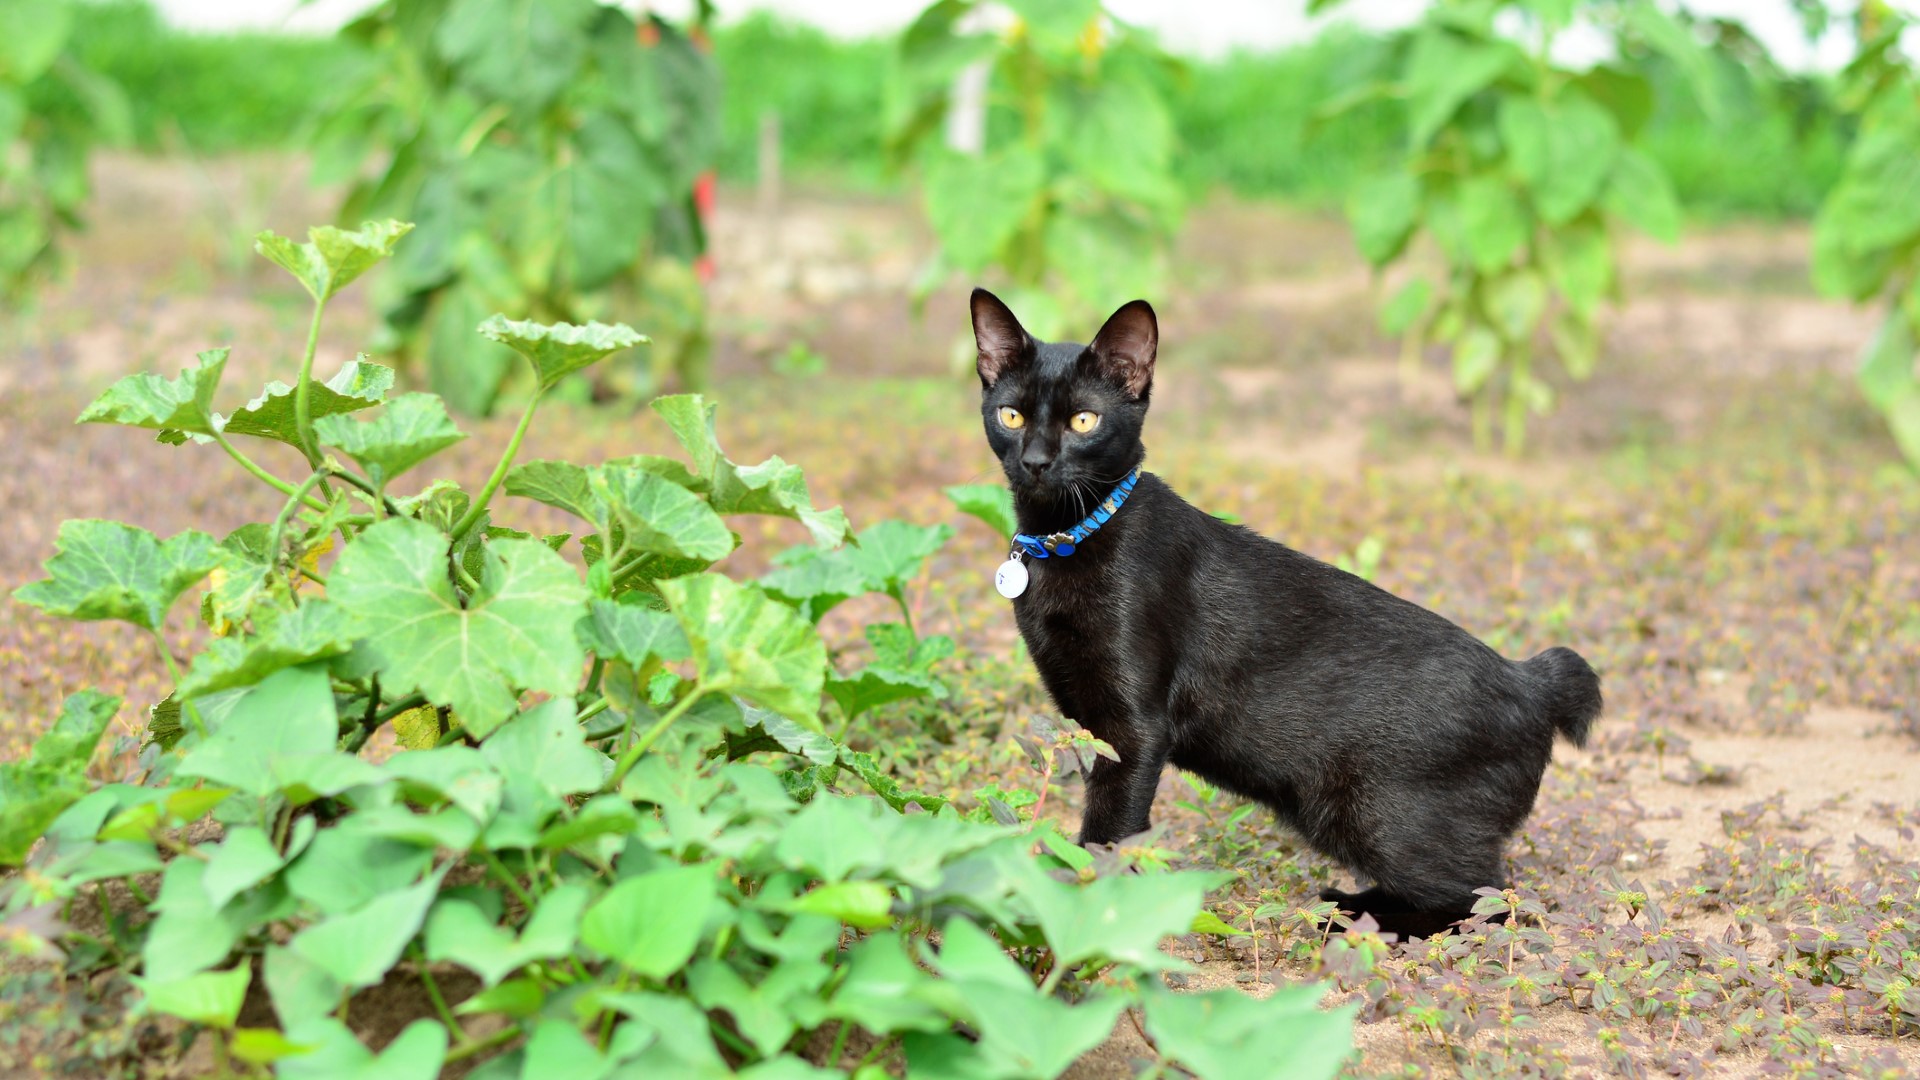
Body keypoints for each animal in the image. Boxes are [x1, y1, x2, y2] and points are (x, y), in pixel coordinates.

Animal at [967, 286, 1597, 933]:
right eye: (1011, 416)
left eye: (1084, 421)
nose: (1036, 461)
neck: (1065, 539)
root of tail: (1534, 681)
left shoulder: (1133, 729)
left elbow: (1107, 838)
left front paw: (1085, 915)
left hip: (1373, 812)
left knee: (1485, 898)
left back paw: (1347, 915)